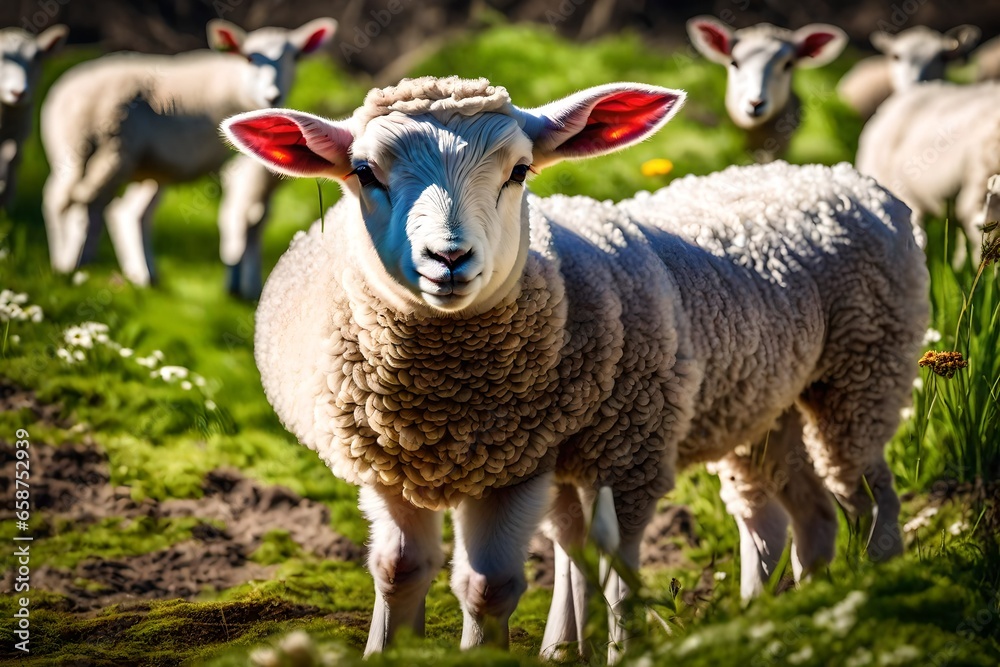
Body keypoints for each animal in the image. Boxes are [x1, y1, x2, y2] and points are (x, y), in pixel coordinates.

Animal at [40, 18, 336, 298]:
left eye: (294, 58)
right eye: (250, 58)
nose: (273, 95)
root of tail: (62, 91)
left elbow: (253, 220)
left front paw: (249, 285)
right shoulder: (240, 166)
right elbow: (240, 217)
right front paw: (240, 288)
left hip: (116, 159)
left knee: (119, 211)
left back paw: (137, 276)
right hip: (105, 147)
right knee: (81, 203)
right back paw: (73, 266)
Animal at [222, 76, 928, 661]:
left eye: (520, 171)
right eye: (365, 172)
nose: (448, 259)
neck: (443, 404)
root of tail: (828, 173)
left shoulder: (549, 460)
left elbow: (491, 585)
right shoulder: (391, 466)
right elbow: (400, 572)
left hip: (863, 371)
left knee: (866, 495)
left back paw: (884, 592)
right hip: (759, 404)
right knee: (786, 515)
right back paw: (785, 613)